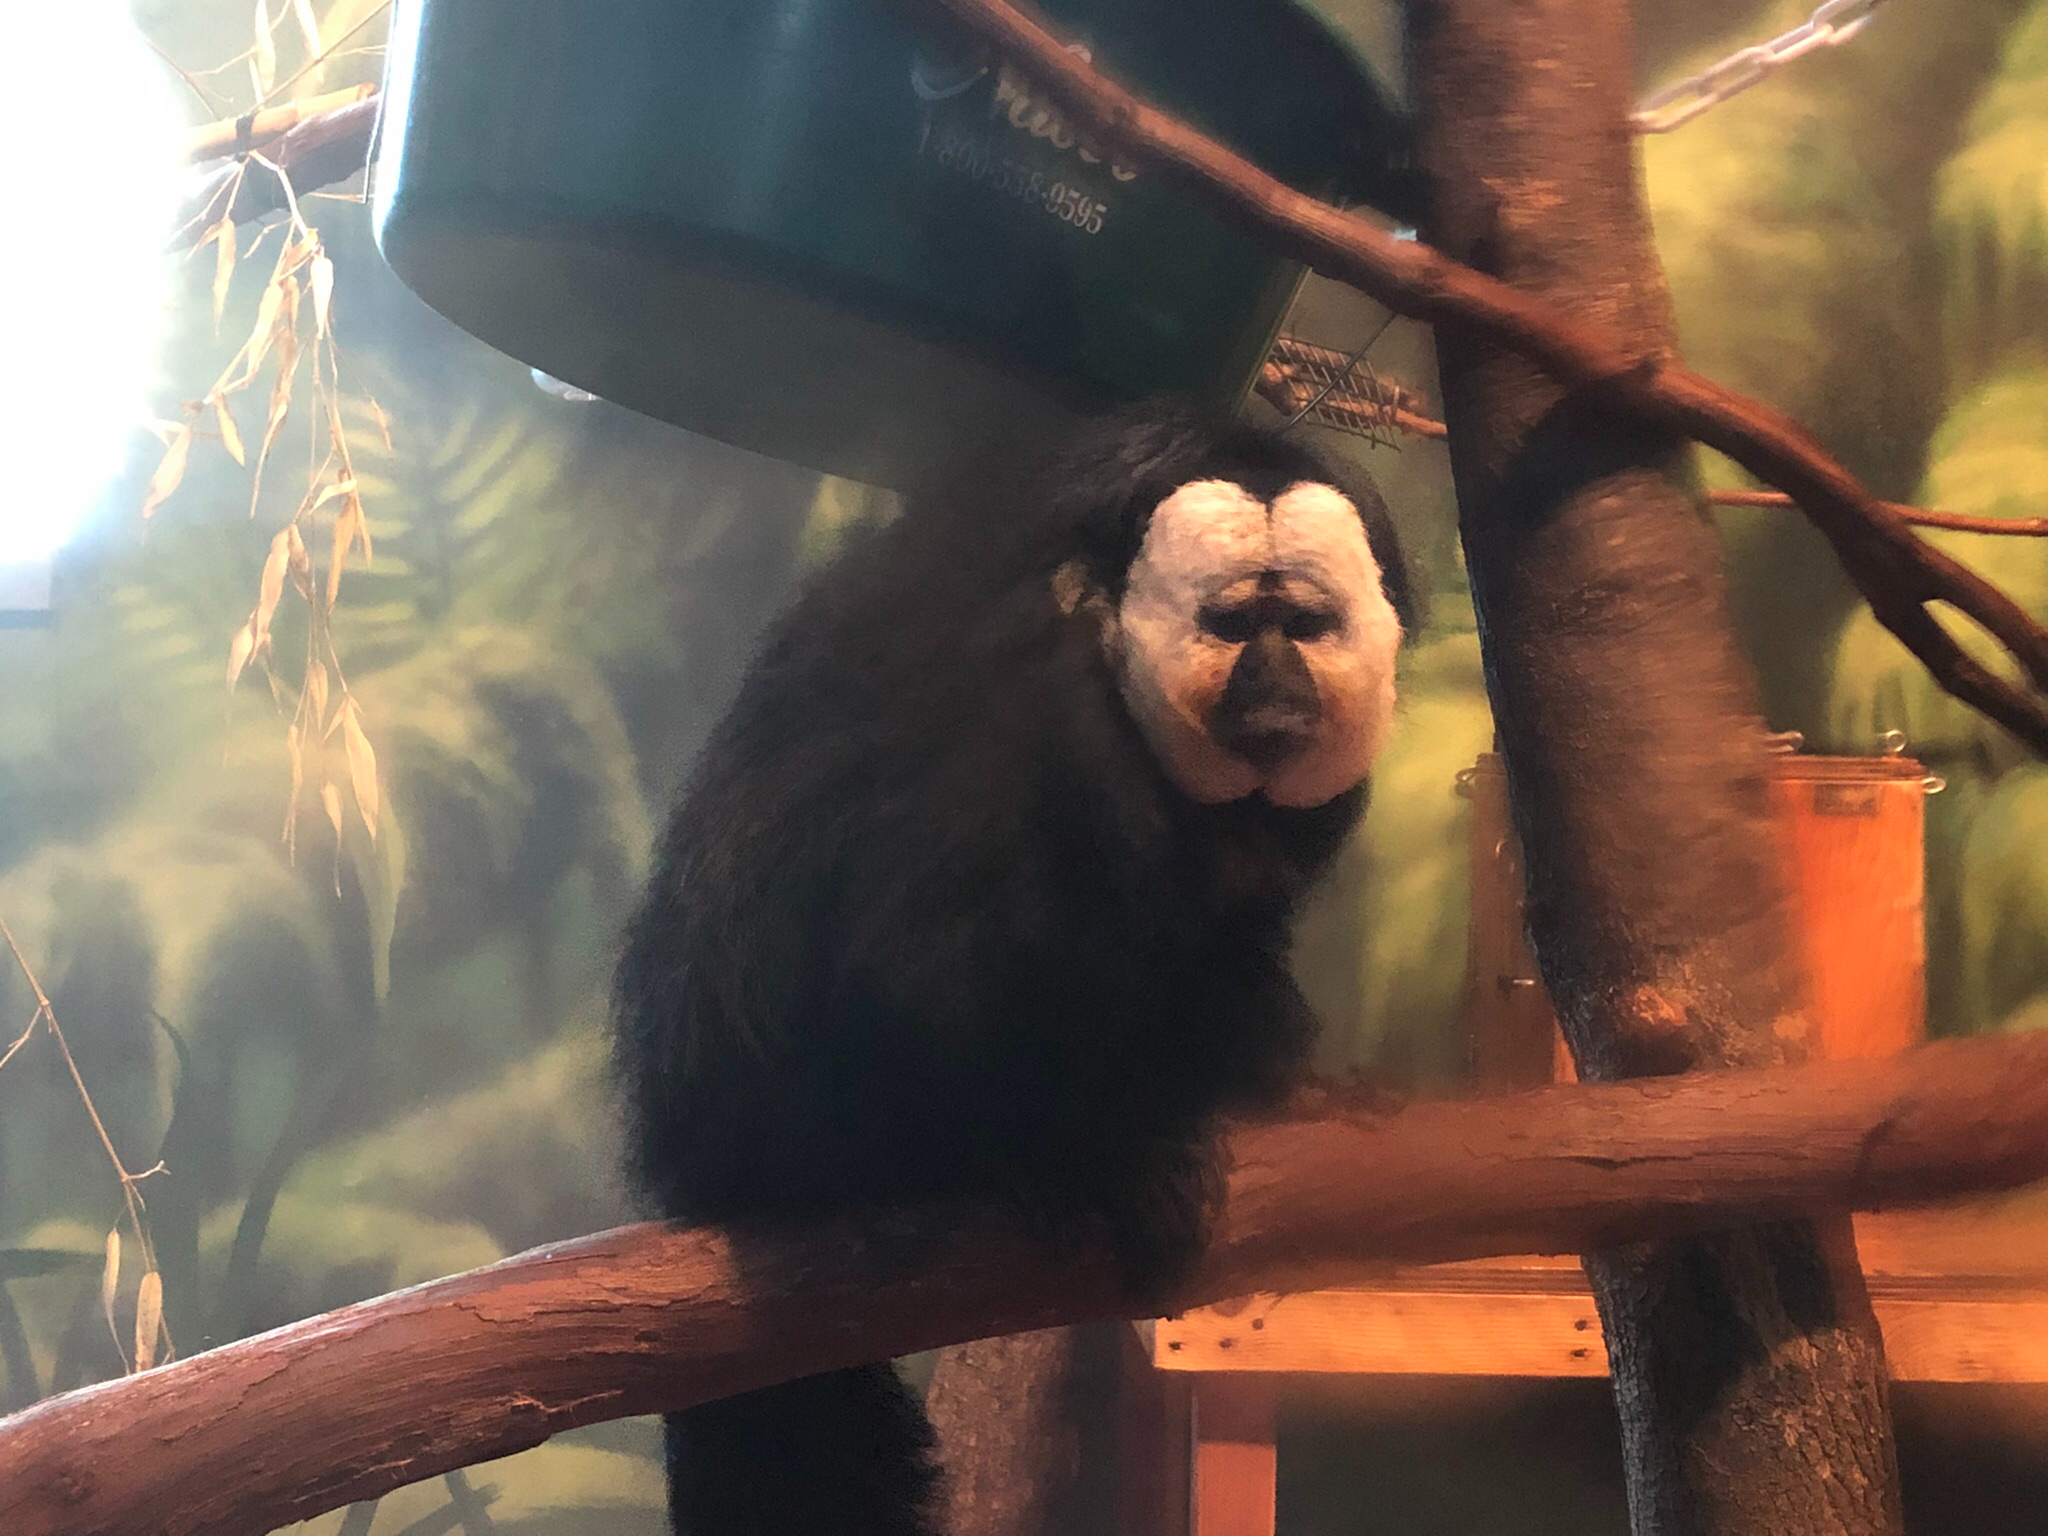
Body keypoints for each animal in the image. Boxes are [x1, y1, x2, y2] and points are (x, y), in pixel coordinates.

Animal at [611, 400, 1416, 1536]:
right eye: (1230, 628)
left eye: (1300, 626)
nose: (1272, 687)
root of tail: (702, 1165)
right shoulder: (1025, 672)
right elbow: (916, 962)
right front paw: (1103, 1150)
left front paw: (1291, 1086)